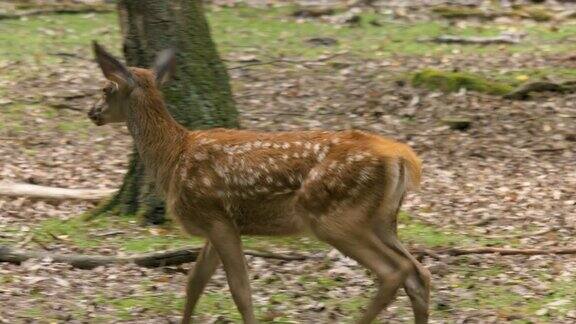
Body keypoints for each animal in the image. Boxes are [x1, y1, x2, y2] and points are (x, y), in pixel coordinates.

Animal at [90, 41, 430, 324]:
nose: (92, 111)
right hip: (382, 220)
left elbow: (240, 290)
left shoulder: (215, 218)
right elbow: (195, 281)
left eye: (107, 88)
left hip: (334, 216)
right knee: (419, 273)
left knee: (396, 271)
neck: (173, 157)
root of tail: (400, 157)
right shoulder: (220, 222)